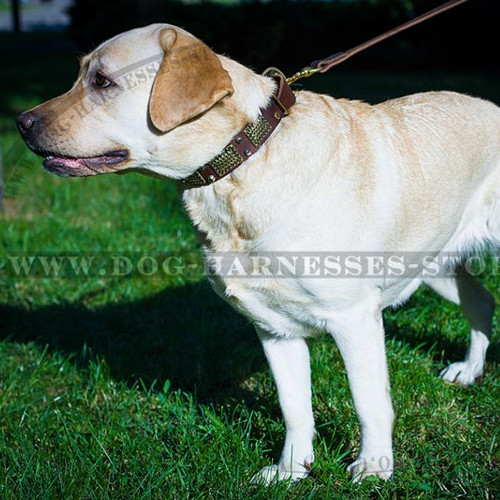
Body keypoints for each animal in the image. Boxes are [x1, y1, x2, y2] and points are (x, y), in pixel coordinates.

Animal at [15, 24, 496, 484]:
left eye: (102, 81)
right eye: (81, 74)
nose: (21, 121)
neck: (241, 167)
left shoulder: (354, 318)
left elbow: (369, 402)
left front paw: (375, 468)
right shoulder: (273, 327)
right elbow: (293, 407)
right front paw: (292, 470)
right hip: (432, 262)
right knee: (481, 301)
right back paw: (469, 370)